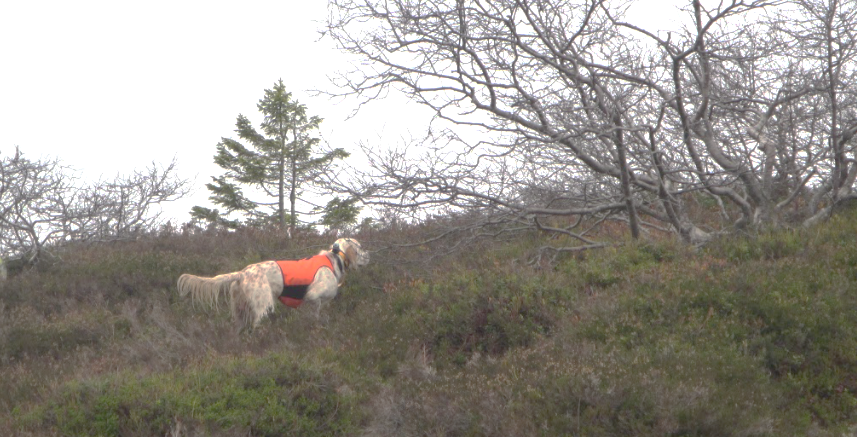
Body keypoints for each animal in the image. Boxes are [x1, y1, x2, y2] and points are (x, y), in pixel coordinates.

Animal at [177, 238, 368, 330]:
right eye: (360, 247)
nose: (369, 256)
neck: (335, 258)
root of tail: (242, 273)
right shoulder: (313, 297)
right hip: (263, 306)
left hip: (240, 310)